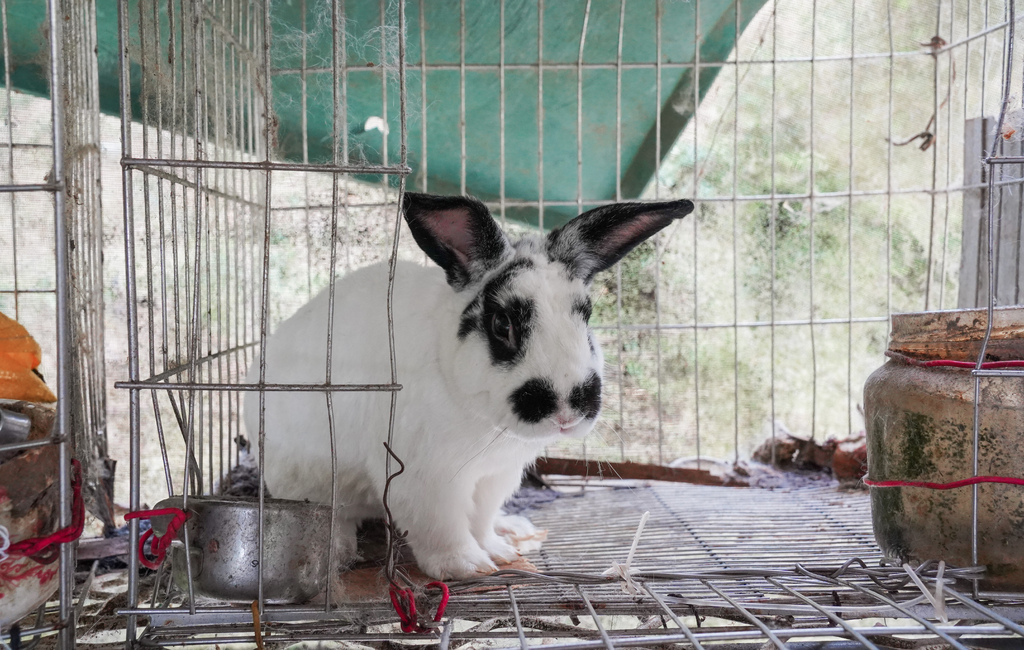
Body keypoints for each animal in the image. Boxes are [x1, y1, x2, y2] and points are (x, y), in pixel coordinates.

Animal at [245, 193, 696, 581]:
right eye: (502, 324)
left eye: (585, 315)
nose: (567, 411)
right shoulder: (425, 478)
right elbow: (441, 527)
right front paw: (467, 566)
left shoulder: (494, 477)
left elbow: (479, 520)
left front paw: (497, 551)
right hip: (309, 482)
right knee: (332, 513)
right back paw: (338, 551)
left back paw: (514, 531)